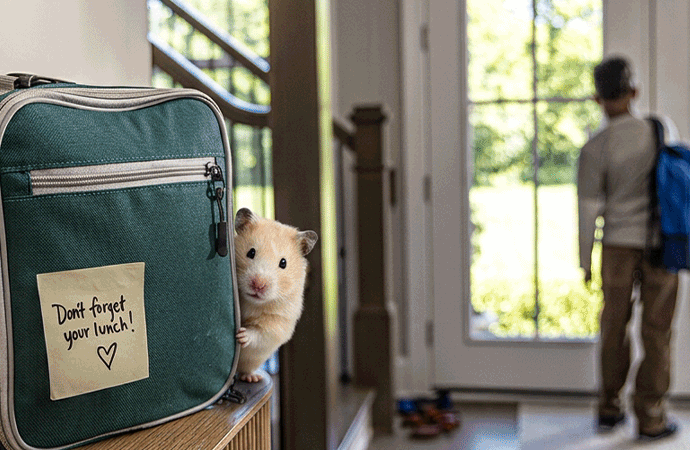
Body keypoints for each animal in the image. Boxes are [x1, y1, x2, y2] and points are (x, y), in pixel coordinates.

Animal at [233, 207, 318, 382]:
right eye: (251, 252)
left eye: (283, 263)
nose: (258, 285)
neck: (252, 302)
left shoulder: (277, 324)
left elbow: (258, 333)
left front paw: (241, 335)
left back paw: (251, 378)